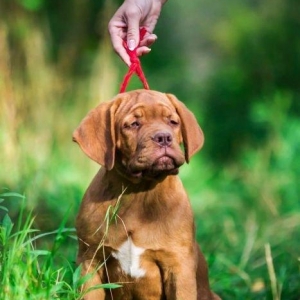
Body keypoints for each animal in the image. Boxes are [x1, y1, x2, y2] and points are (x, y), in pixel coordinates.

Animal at [74, 89, 219, 300]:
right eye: (134, 124)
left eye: (173, 122)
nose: (163, 137)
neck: (138, 192)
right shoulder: (90, 261)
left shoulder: (178, 266)